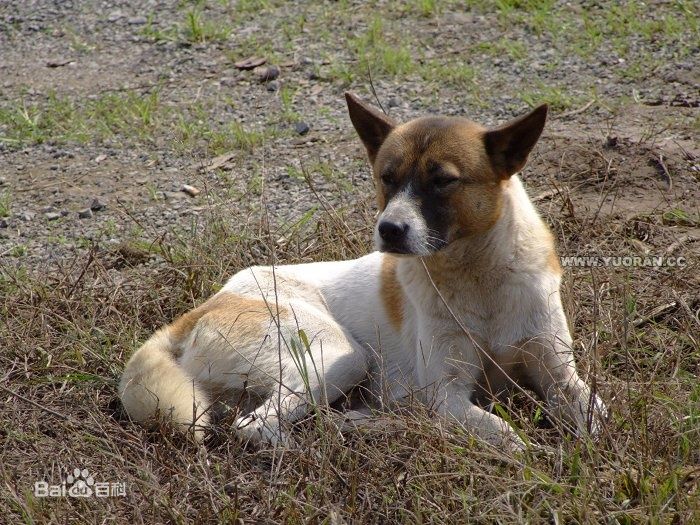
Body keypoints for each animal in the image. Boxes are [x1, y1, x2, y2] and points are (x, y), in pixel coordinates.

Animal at [117, 93, 604, 446]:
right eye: (387, 177)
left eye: (444, 181)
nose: (389, 229)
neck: (479, 279)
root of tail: (203, 308)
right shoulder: (446, 396)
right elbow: (506, 434)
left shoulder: (561, 376)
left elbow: (595, 411)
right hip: (341, 355)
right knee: (257, 426)